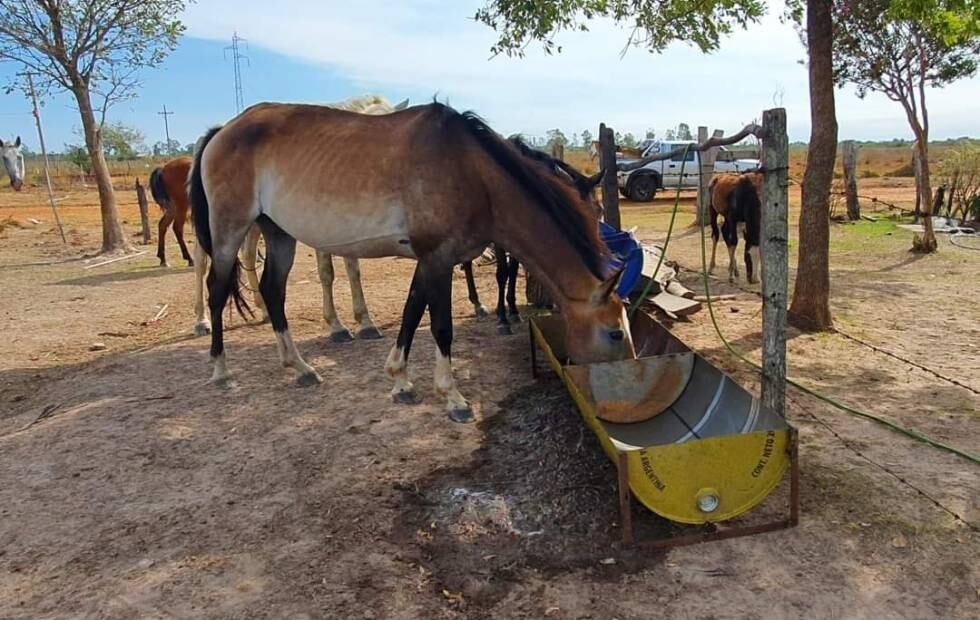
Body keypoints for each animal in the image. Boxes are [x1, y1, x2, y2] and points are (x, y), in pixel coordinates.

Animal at [193, 95, 408, 340]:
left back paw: (264, 309)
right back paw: (201, 321)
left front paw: (365, 322)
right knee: (201, 263)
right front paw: (336, 325)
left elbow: (353, 271)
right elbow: (327, 273)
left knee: (248, 256)